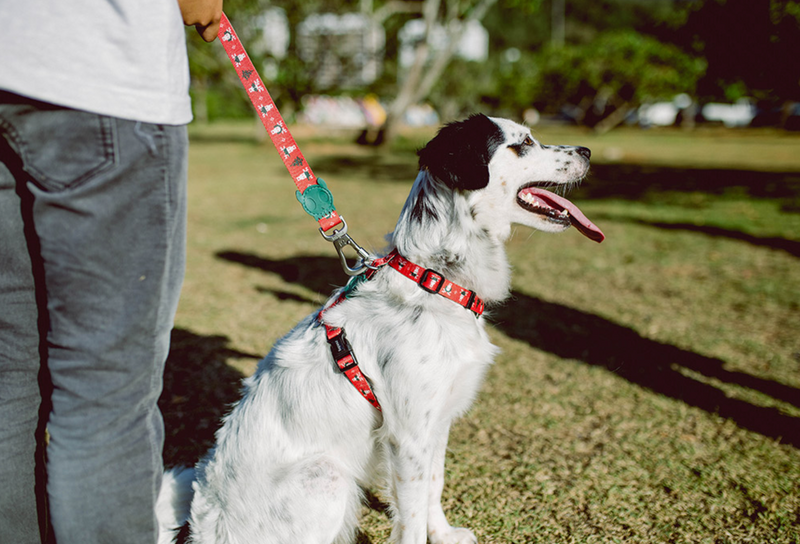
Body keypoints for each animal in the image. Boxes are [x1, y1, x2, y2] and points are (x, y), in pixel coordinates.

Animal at [158, 115, 608, 544]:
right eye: (523, 143)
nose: (587, 150)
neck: (434, 280)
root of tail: (203, 528)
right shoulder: (407, 436)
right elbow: (410, 517)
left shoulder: (436, 423)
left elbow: (433, 486)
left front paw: (443, 533)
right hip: (326, 475)